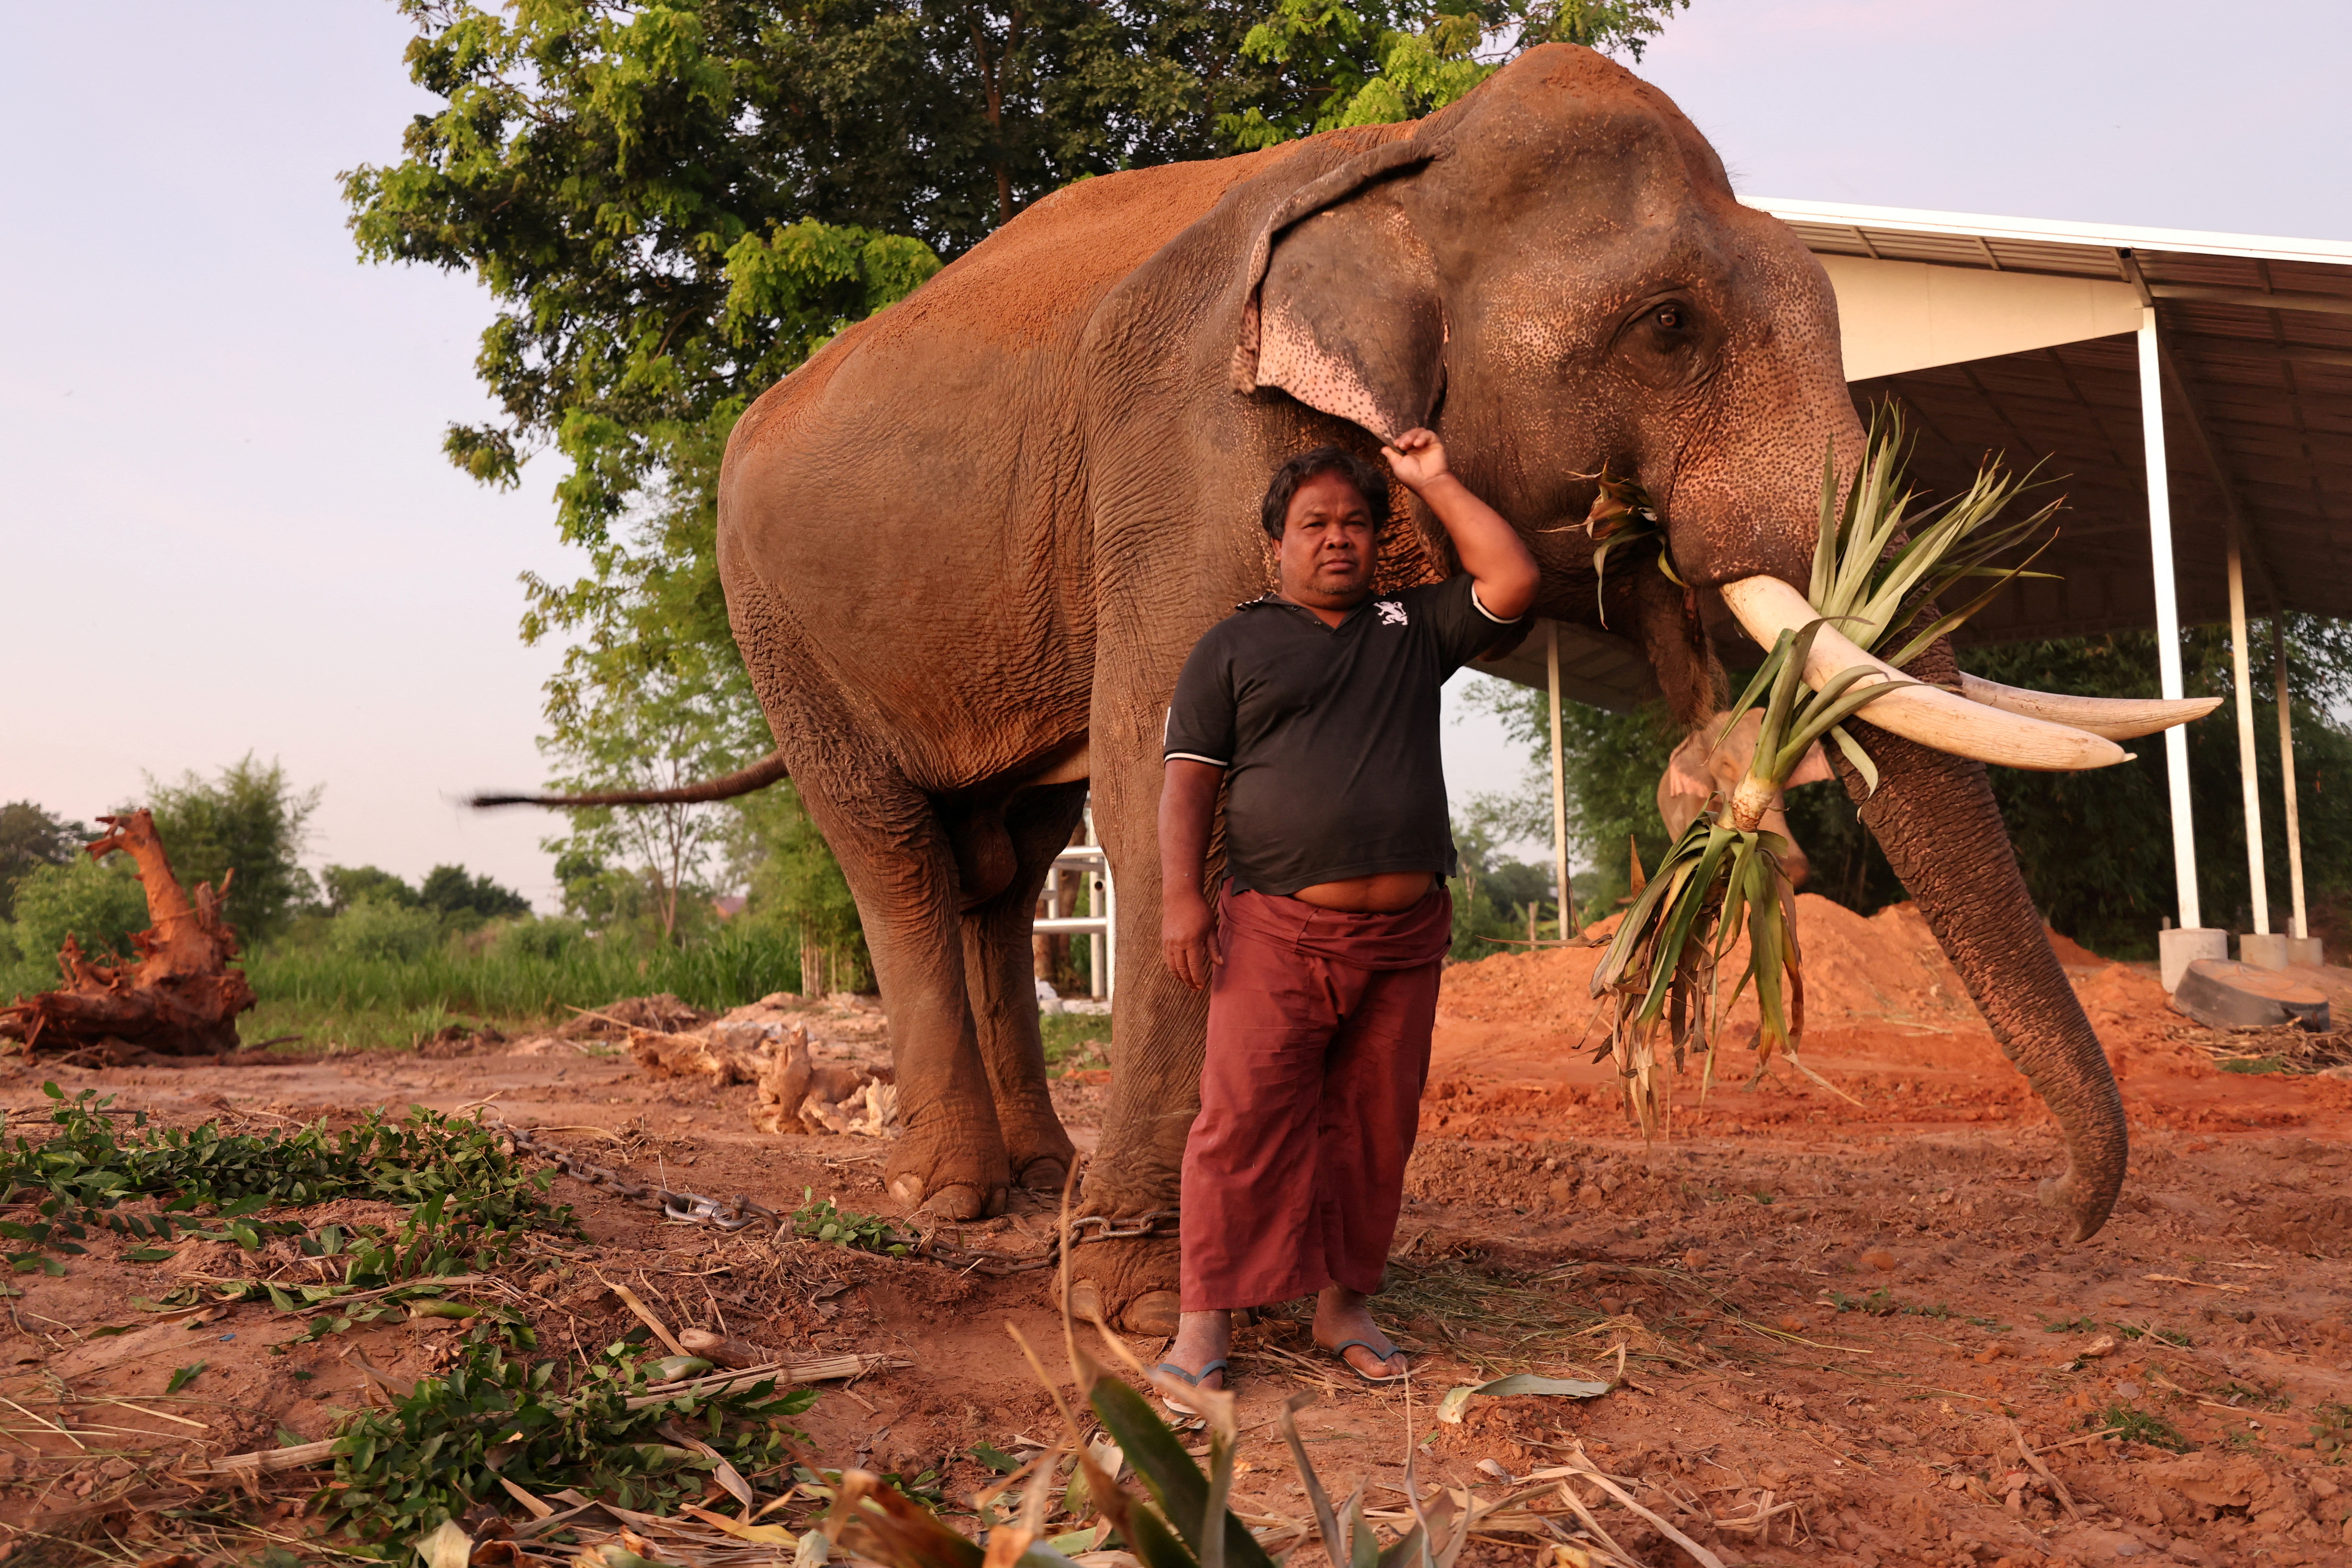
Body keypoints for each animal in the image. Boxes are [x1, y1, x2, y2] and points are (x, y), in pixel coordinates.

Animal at [489, 42, 2215, 1333]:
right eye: (1669, 327)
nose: (2058, 1217)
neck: (1411, 162)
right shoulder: (1192, 442)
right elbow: (1163, 774)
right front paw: (1137, 1304)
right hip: (775, 617)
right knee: (902, 853)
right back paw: (951, 1198)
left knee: (1004, 858)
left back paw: (1035, 1180)